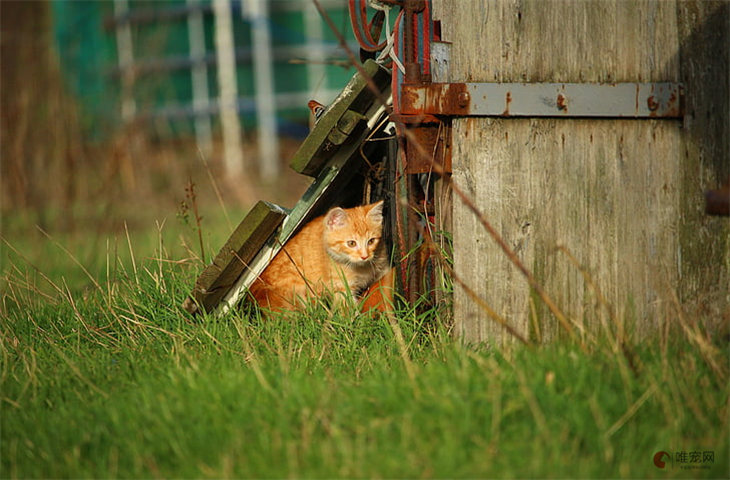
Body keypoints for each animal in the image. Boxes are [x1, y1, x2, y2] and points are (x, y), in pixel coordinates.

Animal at [249, 201, 390, 314]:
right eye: (351, 243)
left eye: (371, 241)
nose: (364, 256)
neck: (361, 268)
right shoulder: (341, 287)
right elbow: (347, 308)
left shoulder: (384, 268)